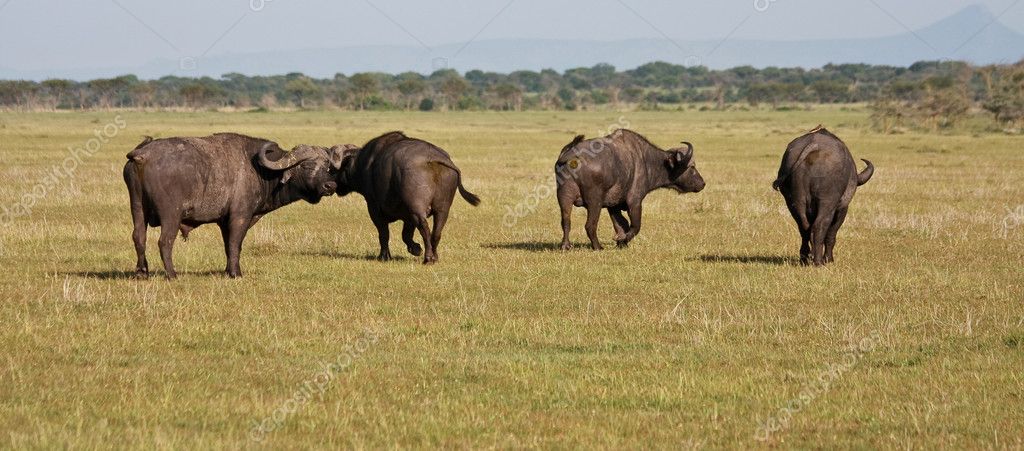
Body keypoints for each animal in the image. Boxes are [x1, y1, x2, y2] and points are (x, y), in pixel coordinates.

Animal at [125, 132, 342, 278]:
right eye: (306, 165)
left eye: (327, 166)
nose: (330, 185)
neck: (262, 171)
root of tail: (143, 155)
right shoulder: (240, 216)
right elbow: (236, 244)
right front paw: (236, 273)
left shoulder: (224, 221)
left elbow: (227, 246)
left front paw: (228, 270)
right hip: (171, 215)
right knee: (165, 241)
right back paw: (172, 274)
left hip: (137, 208)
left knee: (139, 237)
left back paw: (142, 272)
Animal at [333, 130, 481, 264]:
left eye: (333, 169)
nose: (330, 186)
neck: (363, 164)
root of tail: (433, 157)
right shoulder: (407, 217)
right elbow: (406, 235)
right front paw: (416, 249)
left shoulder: (374, 209)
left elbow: (384, 234)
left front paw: (384, 256)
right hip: (442, 210)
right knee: (436, 233)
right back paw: (435, 257)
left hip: (417, 210)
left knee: (425, 229)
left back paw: (428, 258)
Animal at [557, 128, 708, 250]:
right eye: (692, 167)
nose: (702, 183)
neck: (646, 161)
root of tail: (572, 156)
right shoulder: (635, 201)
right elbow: (635, 226)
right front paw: (622, 239)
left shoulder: (613, 206)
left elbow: (621, 224)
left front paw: (621, 243)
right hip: (595, 202)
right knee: (590, 225)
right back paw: (598, 247)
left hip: (564, 198)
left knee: (566, 222)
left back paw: (565, 246)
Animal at [774, 125, 872, 266]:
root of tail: (813, 145)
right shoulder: (842, 208)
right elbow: (831, 234)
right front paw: (829, 259)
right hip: (827, 202)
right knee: (819, 226)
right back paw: (819, 261)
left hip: (794, 202)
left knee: (804, 227)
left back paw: (805, 257)